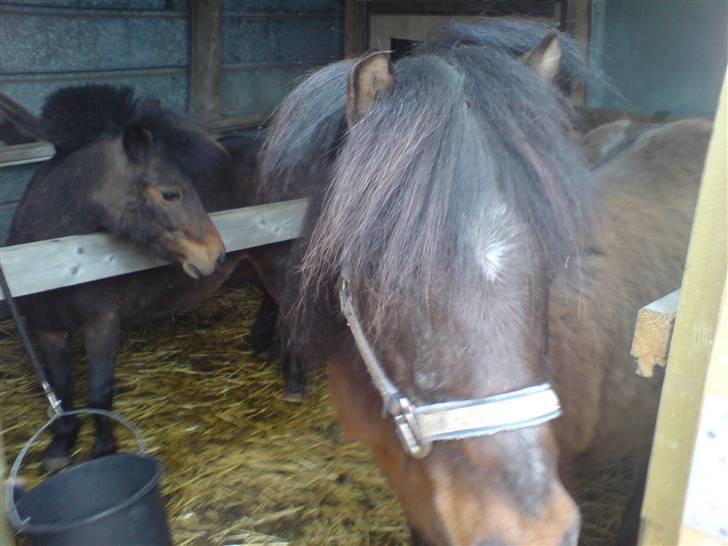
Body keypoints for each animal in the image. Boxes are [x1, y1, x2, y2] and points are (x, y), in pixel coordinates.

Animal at [5, 85, 240, 473]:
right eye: (170, 193)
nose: (216, 254)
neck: (55, 263)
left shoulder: (102, 324)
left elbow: (99, 391)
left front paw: (104, 451)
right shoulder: (45, 328)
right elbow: (62, 387)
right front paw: (60, 446)